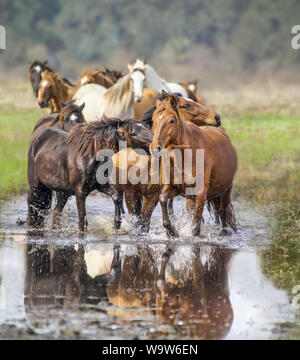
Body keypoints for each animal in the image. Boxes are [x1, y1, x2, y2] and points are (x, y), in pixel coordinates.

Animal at [150, 92, 237, 239]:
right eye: (154, 119)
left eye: (172, 121)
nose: (154, 147)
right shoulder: (175, 188)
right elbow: (162, 199)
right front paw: (172, 231)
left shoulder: (201, 194)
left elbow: (195, 226)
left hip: (226, 191)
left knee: (222, 212)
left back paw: (223, 232)